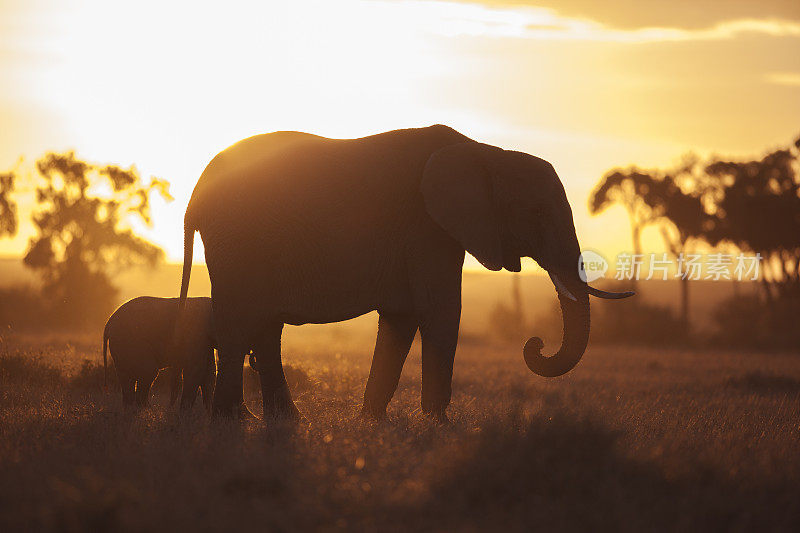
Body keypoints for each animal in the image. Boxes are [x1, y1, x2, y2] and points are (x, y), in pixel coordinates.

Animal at [178, 124, 636, 420]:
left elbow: (401, 318)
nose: (535, 344)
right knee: (240, 324)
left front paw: (372, 423)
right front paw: (439, 427)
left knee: (265, 327)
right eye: (538, 213)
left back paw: (283, 422)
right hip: (238, 240)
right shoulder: (428, 225)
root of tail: (194, 197)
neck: (486, 153)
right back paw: (234, 424)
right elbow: (441, 312)